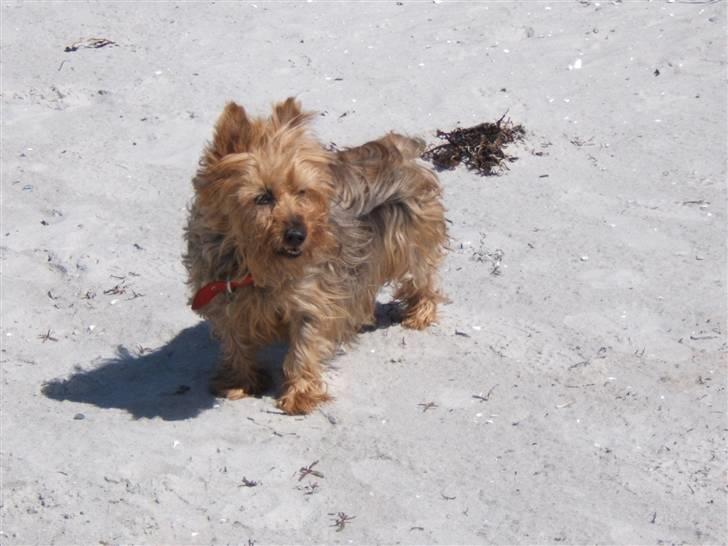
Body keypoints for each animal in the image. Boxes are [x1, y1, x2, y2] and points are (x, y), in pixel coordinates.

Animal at [183, 98, 444, 412]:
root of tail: (397, 149)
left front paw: (300, 394)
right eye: (263, 197)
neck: (252, 265)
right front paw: (240, 381)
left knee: (421, 276)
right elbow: (235, 342)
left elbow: (303, 347)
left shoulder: (312, 300)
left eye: (302, 192)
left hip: (411, 237)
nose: (298, 234)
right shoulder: (222, 297)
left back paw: (420, 313)